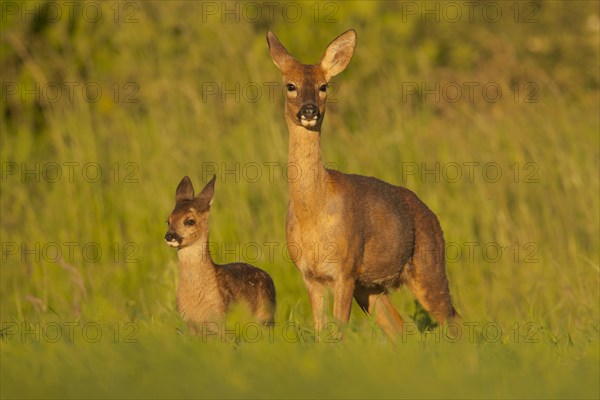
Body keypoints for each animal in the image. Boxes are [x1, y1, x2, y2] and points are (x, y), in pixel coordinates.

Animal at [268, 28, 460, 338]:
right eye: (290, 85)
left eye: (324, 86)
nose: (309, 110)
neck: (314, 212)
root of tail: (432, 215)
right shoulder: (310, 275)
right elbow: (321, 333)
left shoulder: (345, 270)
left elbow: (339, 333)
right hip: (370, 288)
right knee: (399, 327)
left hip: (429, 266)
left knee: (455, 321)